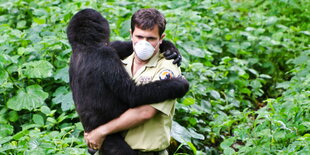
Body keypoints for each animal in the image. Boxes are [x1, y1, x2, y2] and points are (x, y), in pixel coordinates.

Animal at [67, 8, 189, 155]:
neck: (85, 46)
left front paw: (169, 48)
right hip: (109, 139)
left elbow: (117, 46)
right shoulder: (105, 55)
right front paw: (179, 85)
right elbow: (132, 93)